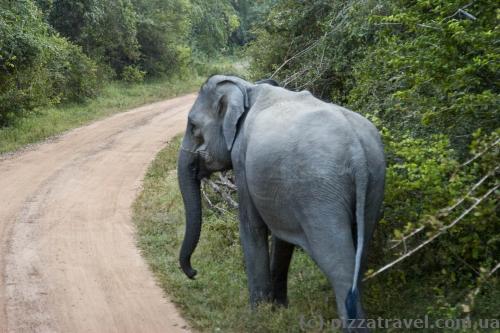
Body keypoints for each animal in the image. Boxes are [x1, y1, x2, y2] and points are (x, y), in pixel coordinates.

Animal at [178, 73, 384, 326]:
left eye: (193, 127)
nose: (194, 273)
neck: (248, 88)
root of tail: (358, 153)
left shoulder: (242, 159)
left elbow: (252, 226)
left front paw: (259, 315)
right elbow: (281, 237)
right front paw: (279, 309)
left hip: (321, 194)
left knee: (339, 266)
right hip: (373, 183)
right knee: (360, 257)